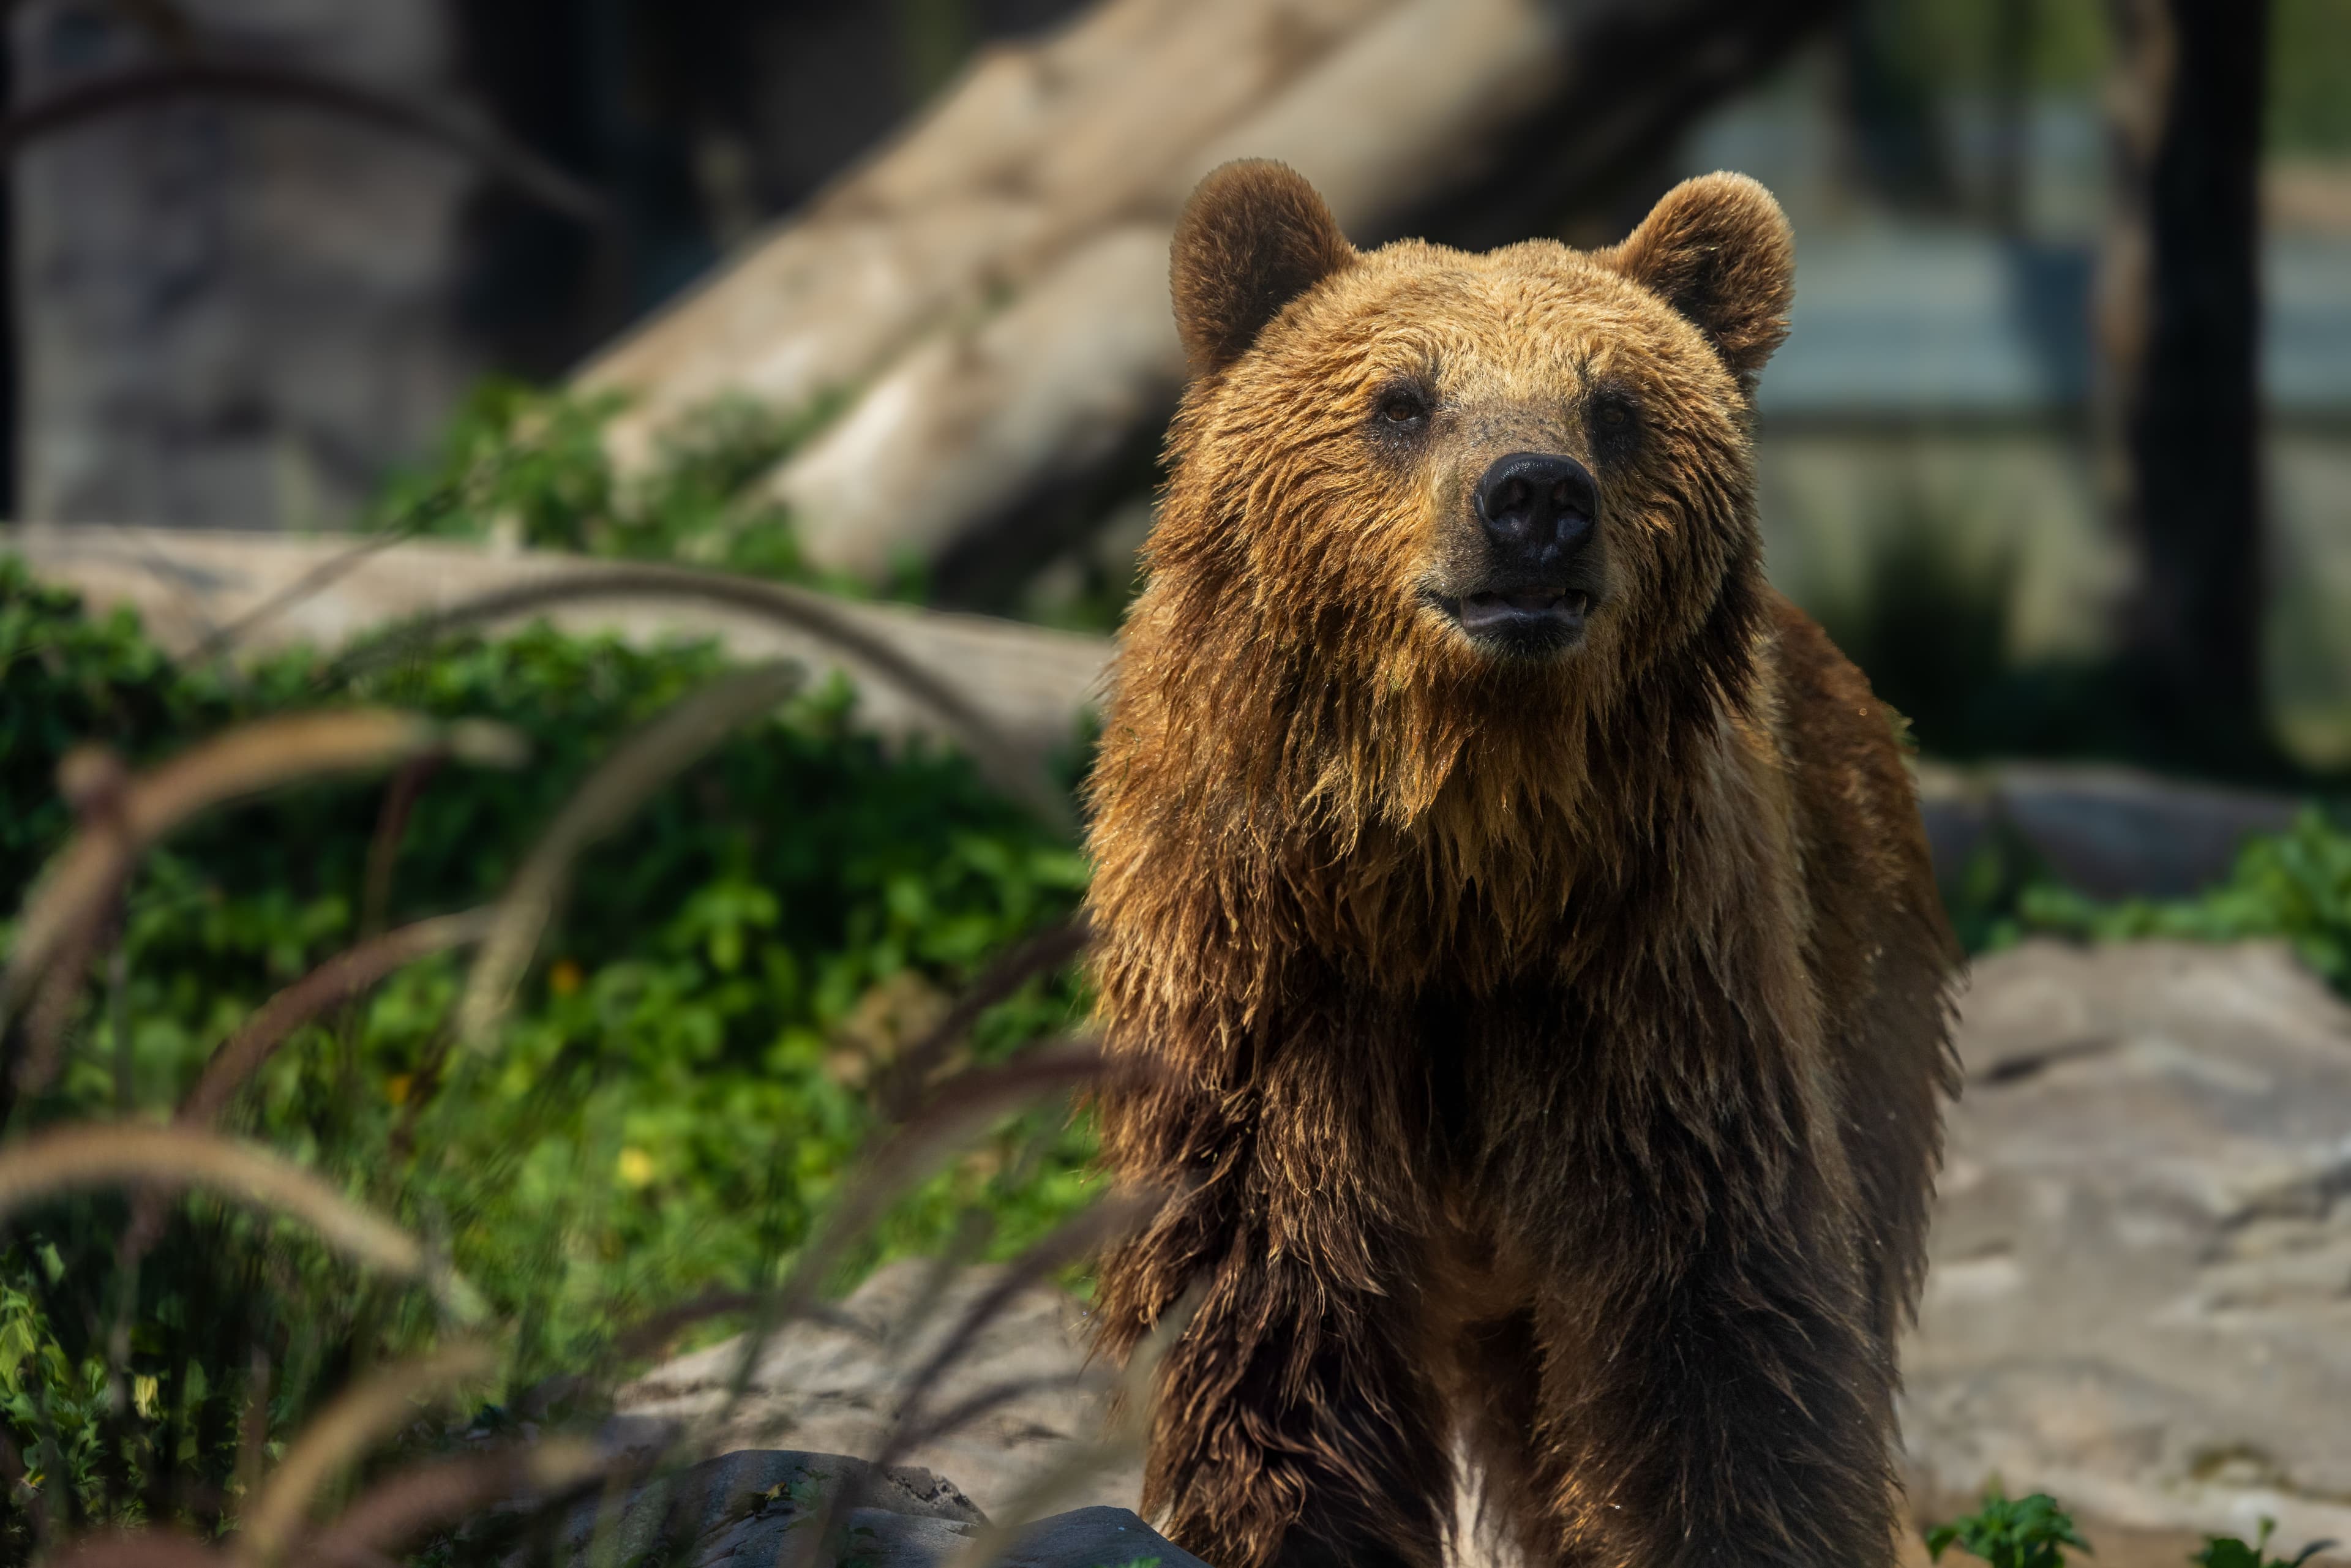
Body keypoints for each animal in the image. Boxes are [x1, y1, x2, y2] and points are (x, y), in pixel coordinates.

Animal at [1082, 160, 1960, 1568]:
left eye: (1613, 402)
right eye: (1403, 398)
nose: (1535, 500)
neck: (1459, 858)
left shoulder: (1649, 972)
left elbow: (1710, 1309)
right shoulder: (1273, 973)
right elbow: (1276, 1294)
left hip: (1860, 945)